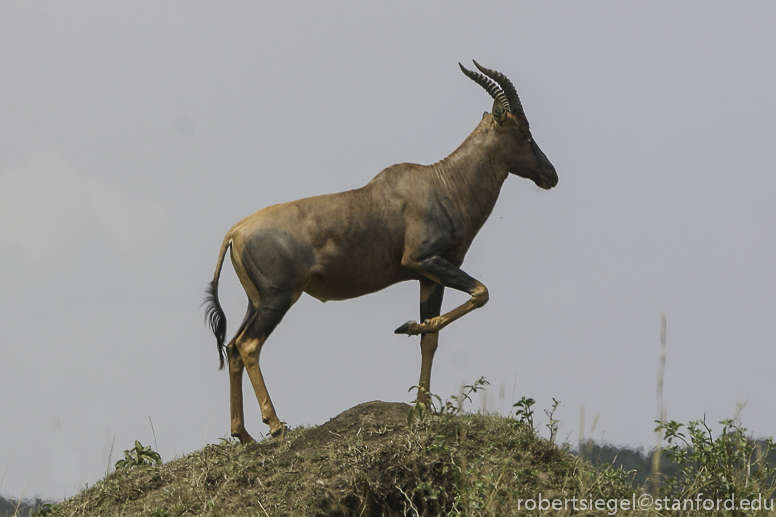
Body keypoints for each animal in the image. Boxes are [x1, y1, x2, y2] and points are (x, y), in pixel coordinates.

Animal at [206, 59, 556, 440]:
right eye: (523, 132)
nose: (550, 175)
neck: (441, 183)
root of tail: (236, 231)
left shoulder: (429, 276)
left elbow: (431, 335)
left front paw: (422, 407)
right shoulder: (426, 260)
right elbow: (480, 293)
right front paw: (406, 327)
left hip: (256, 302)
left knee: (232, 347)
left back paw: (242, 434)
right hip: (278, 298)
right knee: (249, 346)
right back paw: (276, 425)